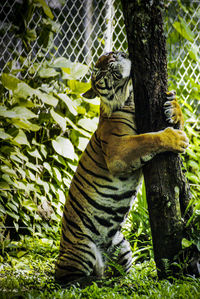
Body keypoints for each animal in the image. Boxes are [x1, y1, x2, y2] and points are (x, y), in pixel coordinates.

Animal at [55, 51, 189, 284]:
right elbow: (148, 139)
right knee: (67, 279)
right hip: (82, 249)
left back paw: (121, 282)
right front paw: (175, 138)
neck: (130, 95)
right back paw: (87, 282)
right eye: (98, 71)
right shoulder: (119, 151)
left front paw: (173, 107)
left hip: (123, 247)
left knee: (116, 274)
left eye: (112, 55)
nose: (113, 59)